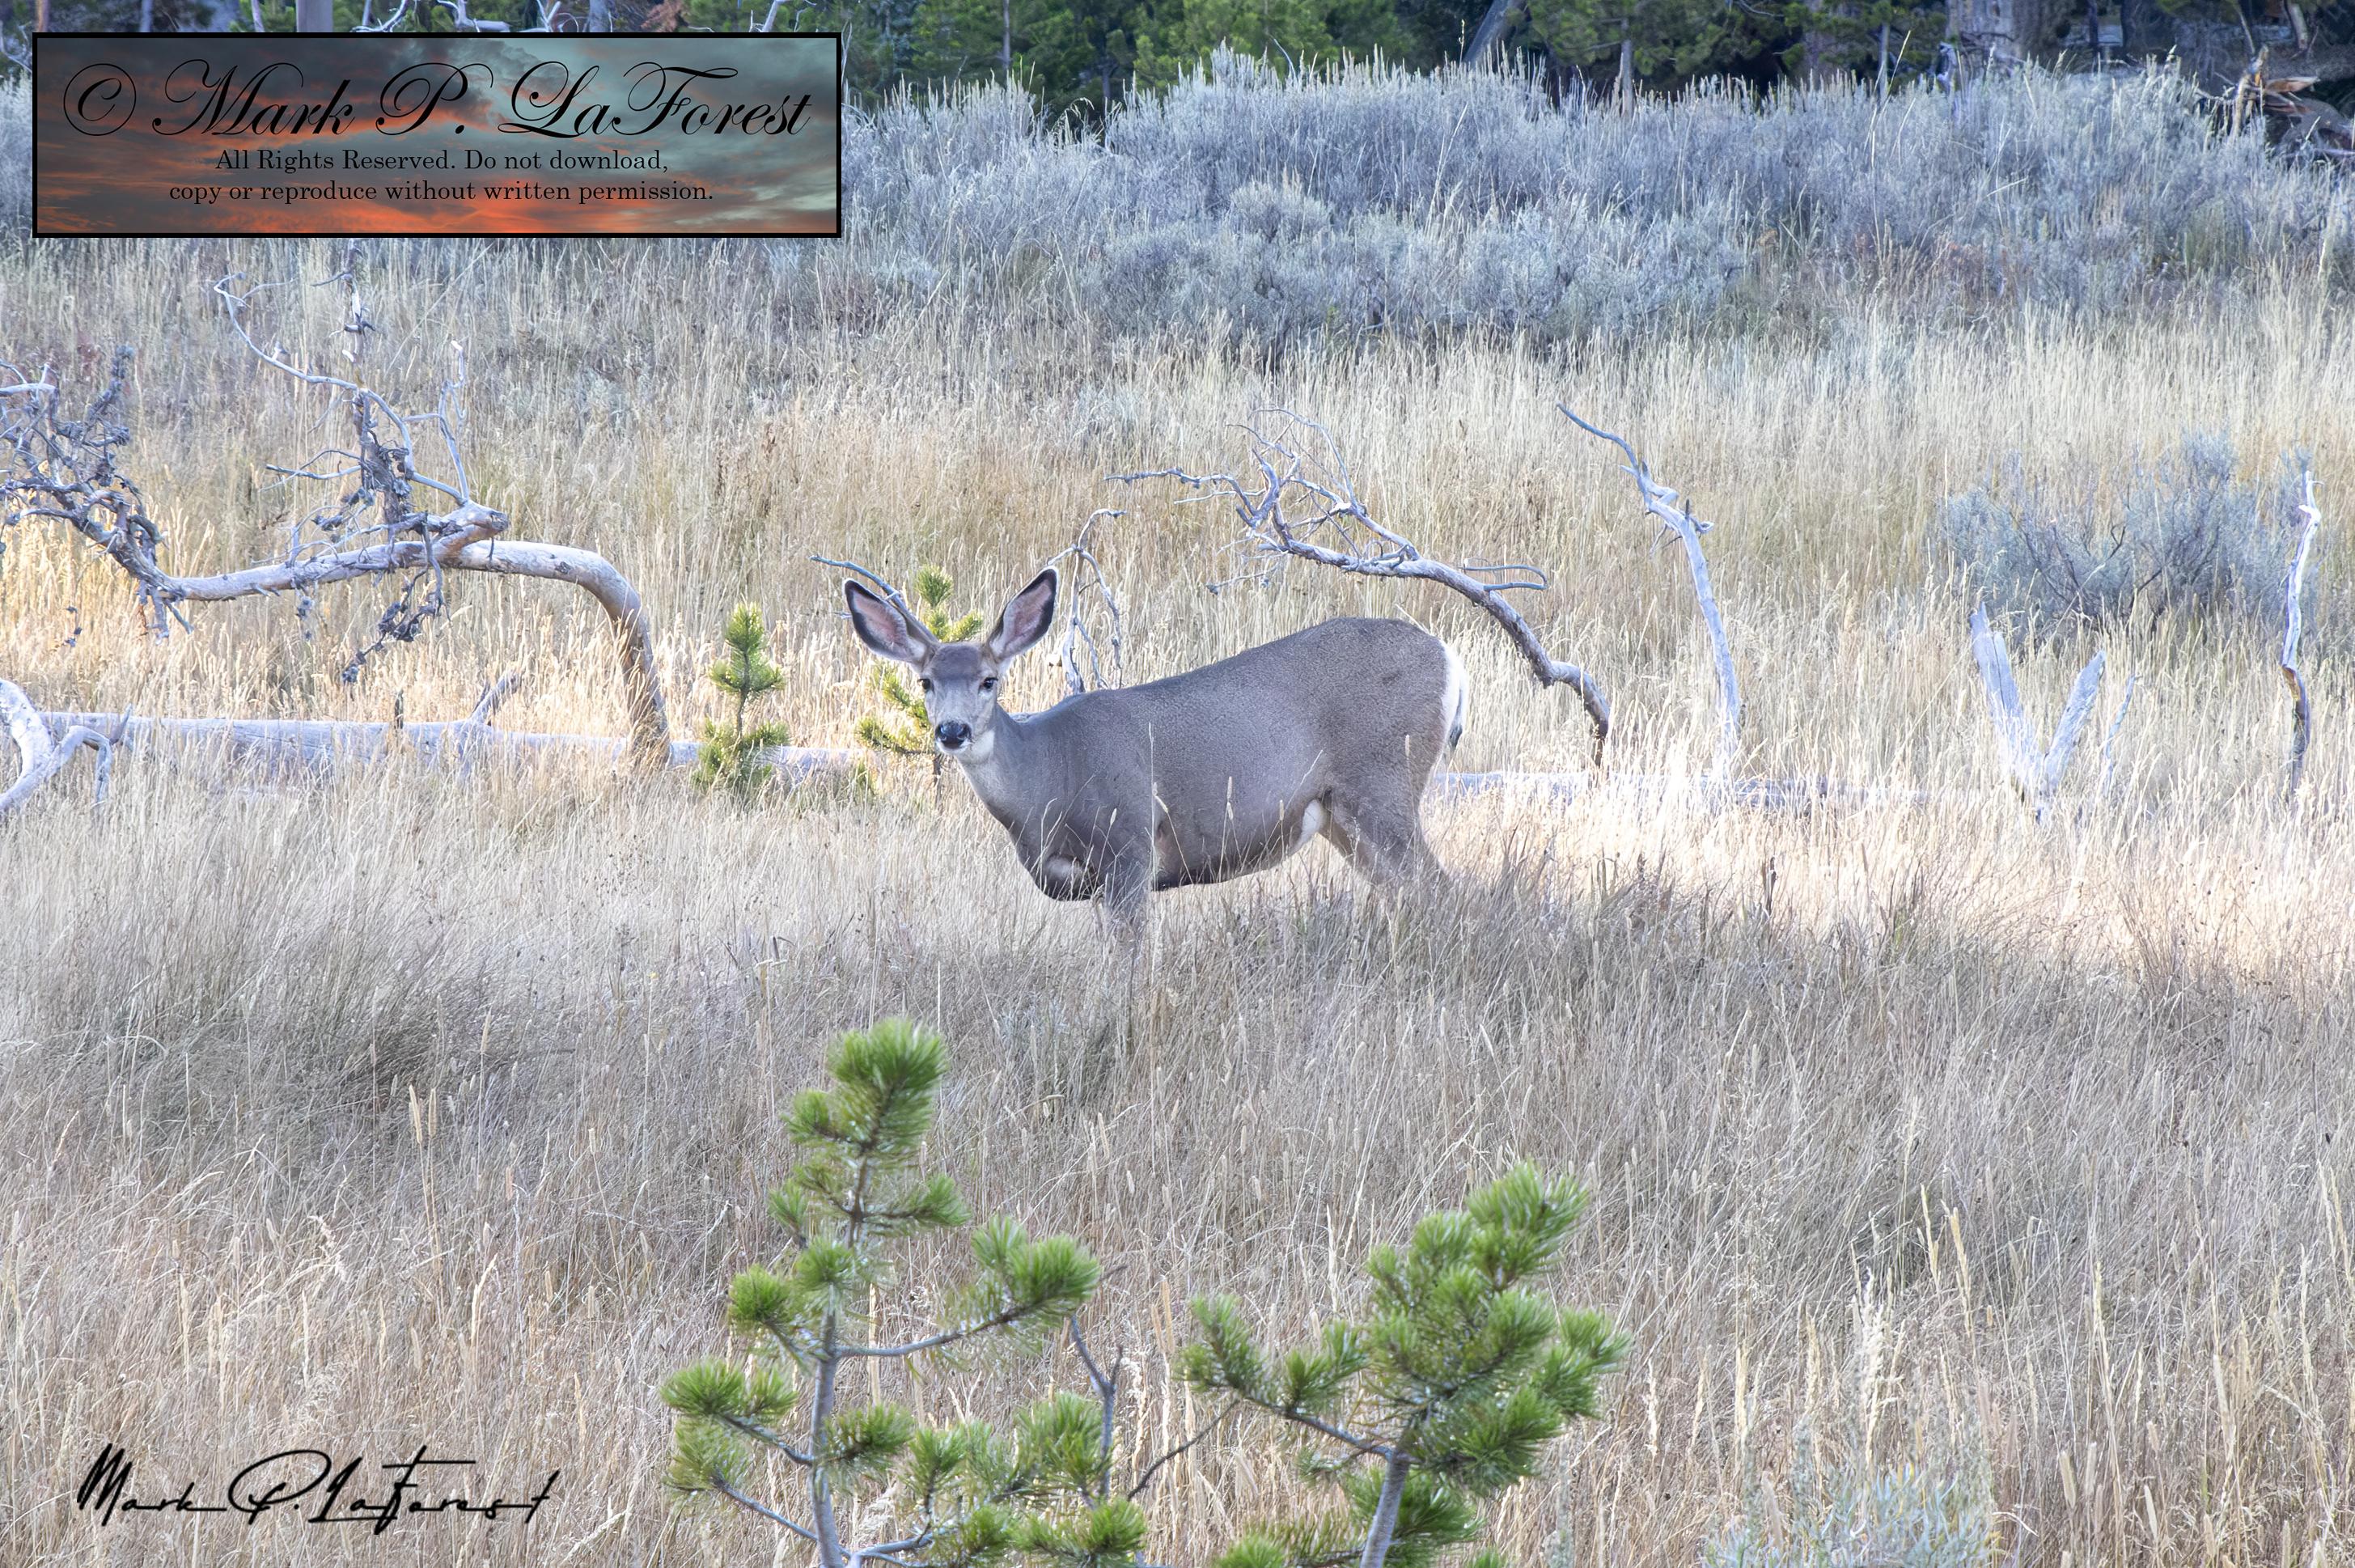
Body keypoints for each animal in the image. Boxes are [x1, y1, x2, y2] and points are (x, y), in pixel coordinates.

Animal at [841, 567, 1467, 936]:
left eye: (988, 680)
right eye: (925, 682)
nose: (952, 732)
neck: (1048, 776)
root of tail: (1449, 660)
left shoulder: (1130, 848)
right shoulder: (1090, 884)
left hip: (1383, 782)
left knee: (1445, 890)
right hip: (1342, 815)